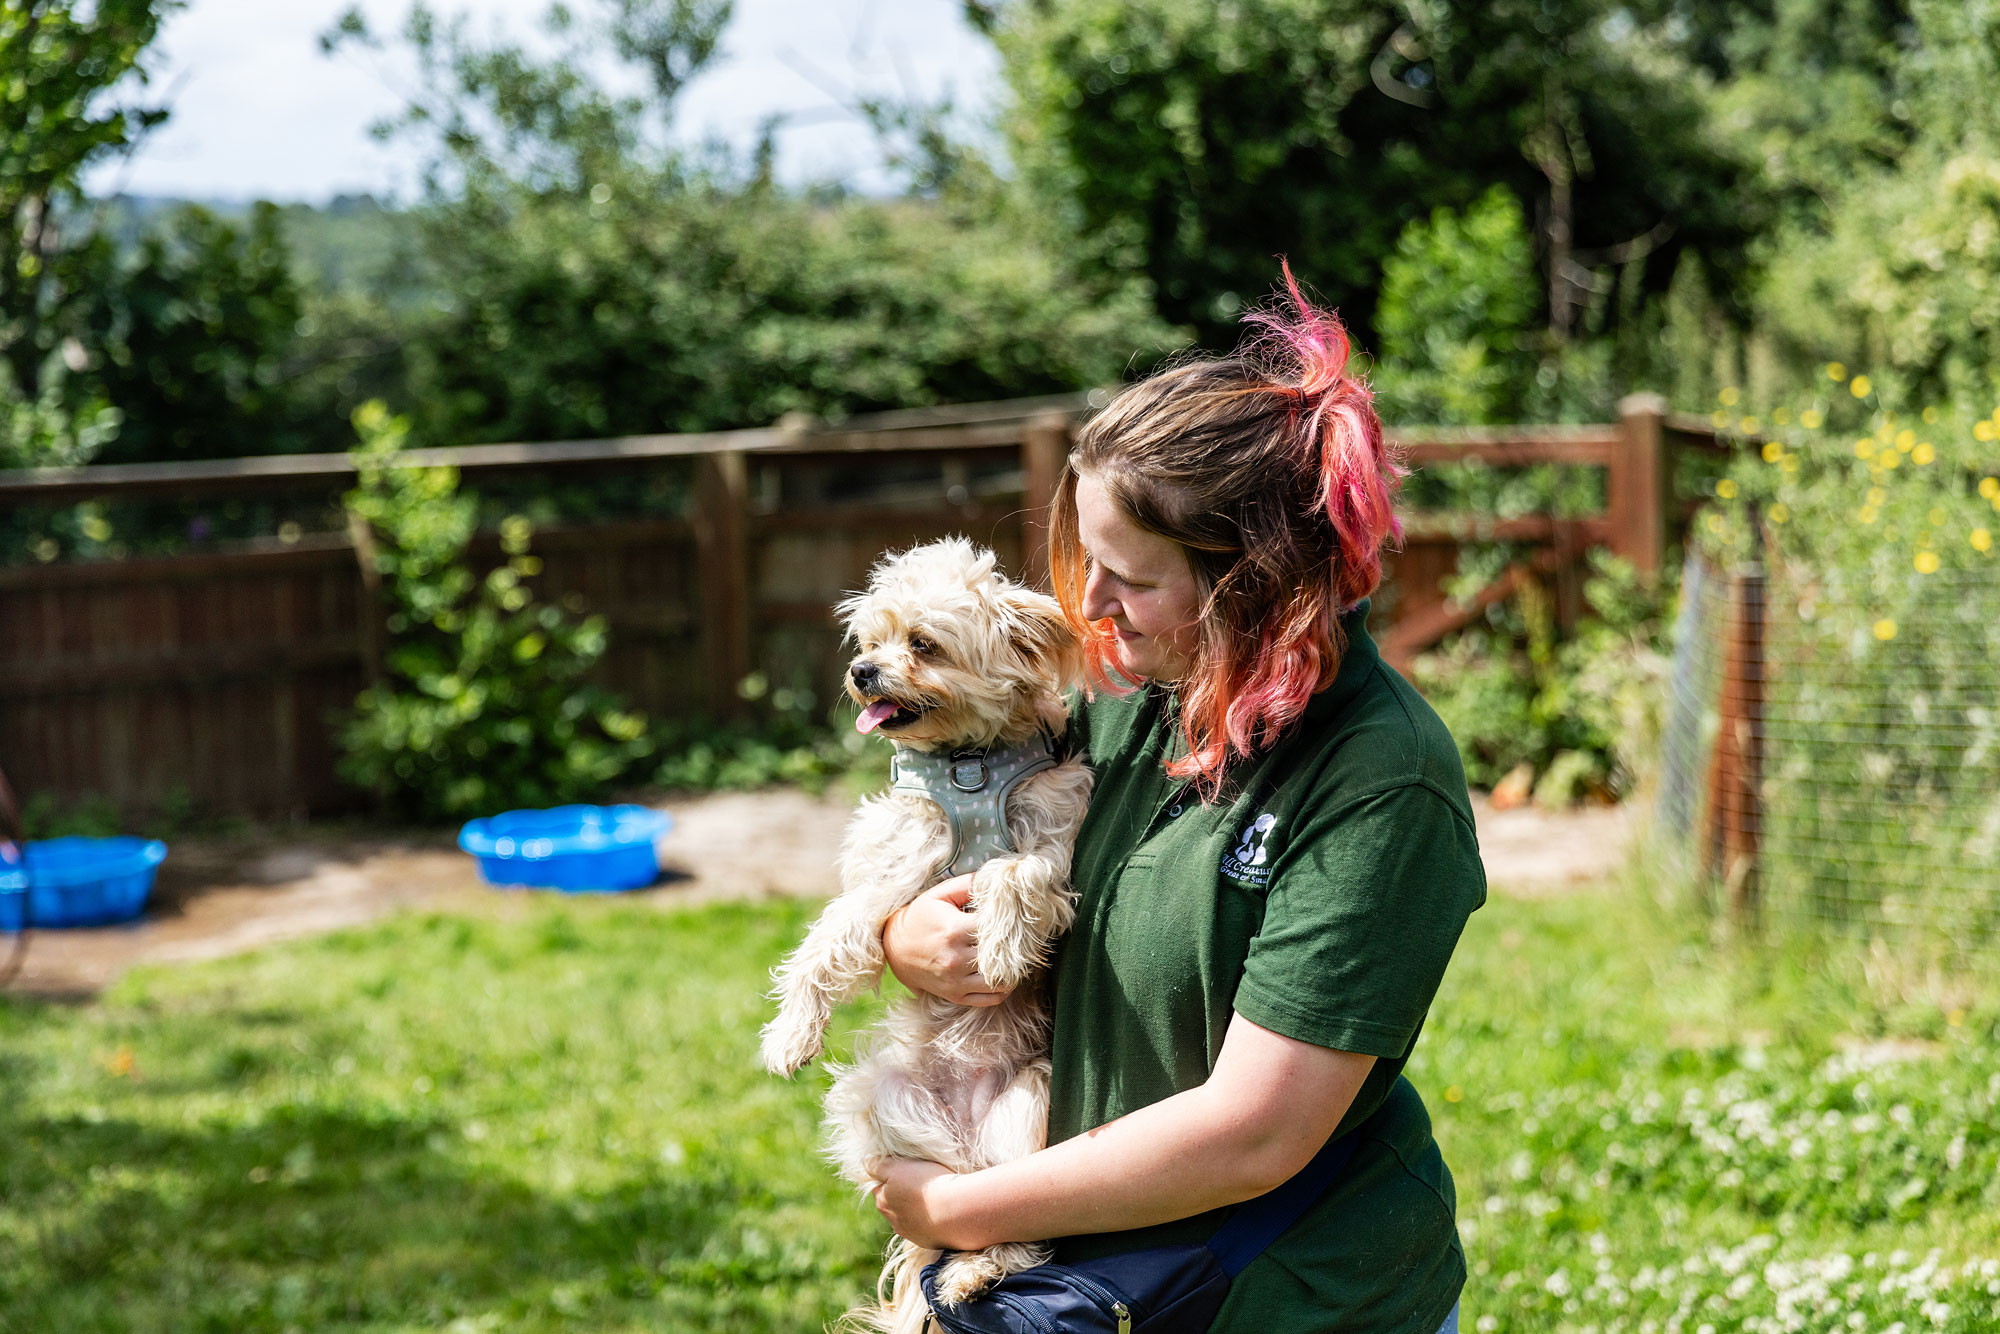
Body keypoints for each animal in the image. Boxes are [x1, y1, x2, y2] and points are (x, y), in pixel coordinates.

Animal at [756, 536, 1096, 1328]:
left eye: (922, 643)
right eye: (870, 639)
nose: (861, 672)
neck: (968, 764)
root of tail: (964, 1134)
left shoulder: (1052, 841)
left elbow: (1014, 873)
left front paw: (1001, 946)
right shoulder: (889, 873)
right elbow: (828, 940)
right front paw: (789, 1036)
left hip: (1028, 1107)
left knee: (1012, 1217)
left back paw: (975, 1273)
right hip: (880, 1100)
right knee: (960, 1201)